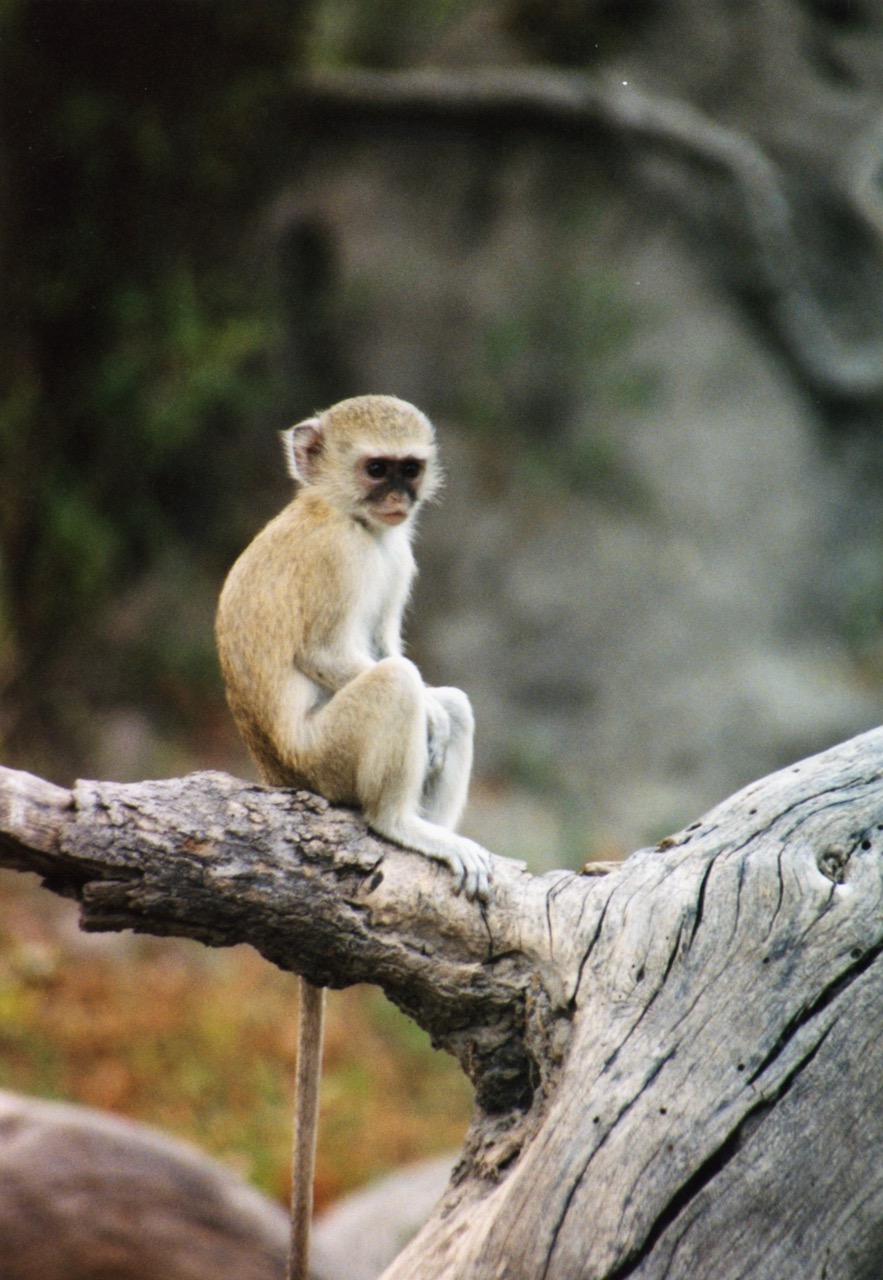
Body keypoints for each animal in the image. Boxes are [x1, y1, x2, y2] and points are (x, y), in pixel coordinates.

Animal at [213, 389, 488, 1280]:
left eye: (409, 467)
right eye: (376, 469)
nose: (399, 498)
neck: (348, 519)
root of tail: (284, 779)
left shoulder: (394, 554)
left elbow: (394, 649)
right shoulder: (340, 560)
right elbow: (337, 654)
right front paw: (418, 714)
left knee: (444, 697)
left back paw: (439, 833)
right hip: (329, 760)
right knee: (396, 686)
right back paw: (403, 825)